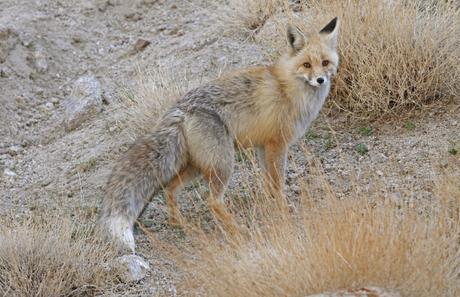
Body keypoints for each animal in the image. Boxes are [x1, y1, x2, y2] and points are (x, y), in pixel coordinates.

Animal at [101, 17, 338, 251]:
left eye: (325, 63)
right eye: (306, 65)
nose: (320, 80)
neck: (289, 89)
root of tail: (180, 109)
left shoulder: (263, 146)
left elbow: (268, 182)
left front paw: (270, 203)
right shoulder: (277, 144)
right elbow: (278, 184)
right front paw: (282, 209)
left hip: (198, 165)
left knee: (170, 188)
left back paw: (180, 224)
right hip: (223, 163)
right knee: (212, 201)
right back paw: (237, 231)